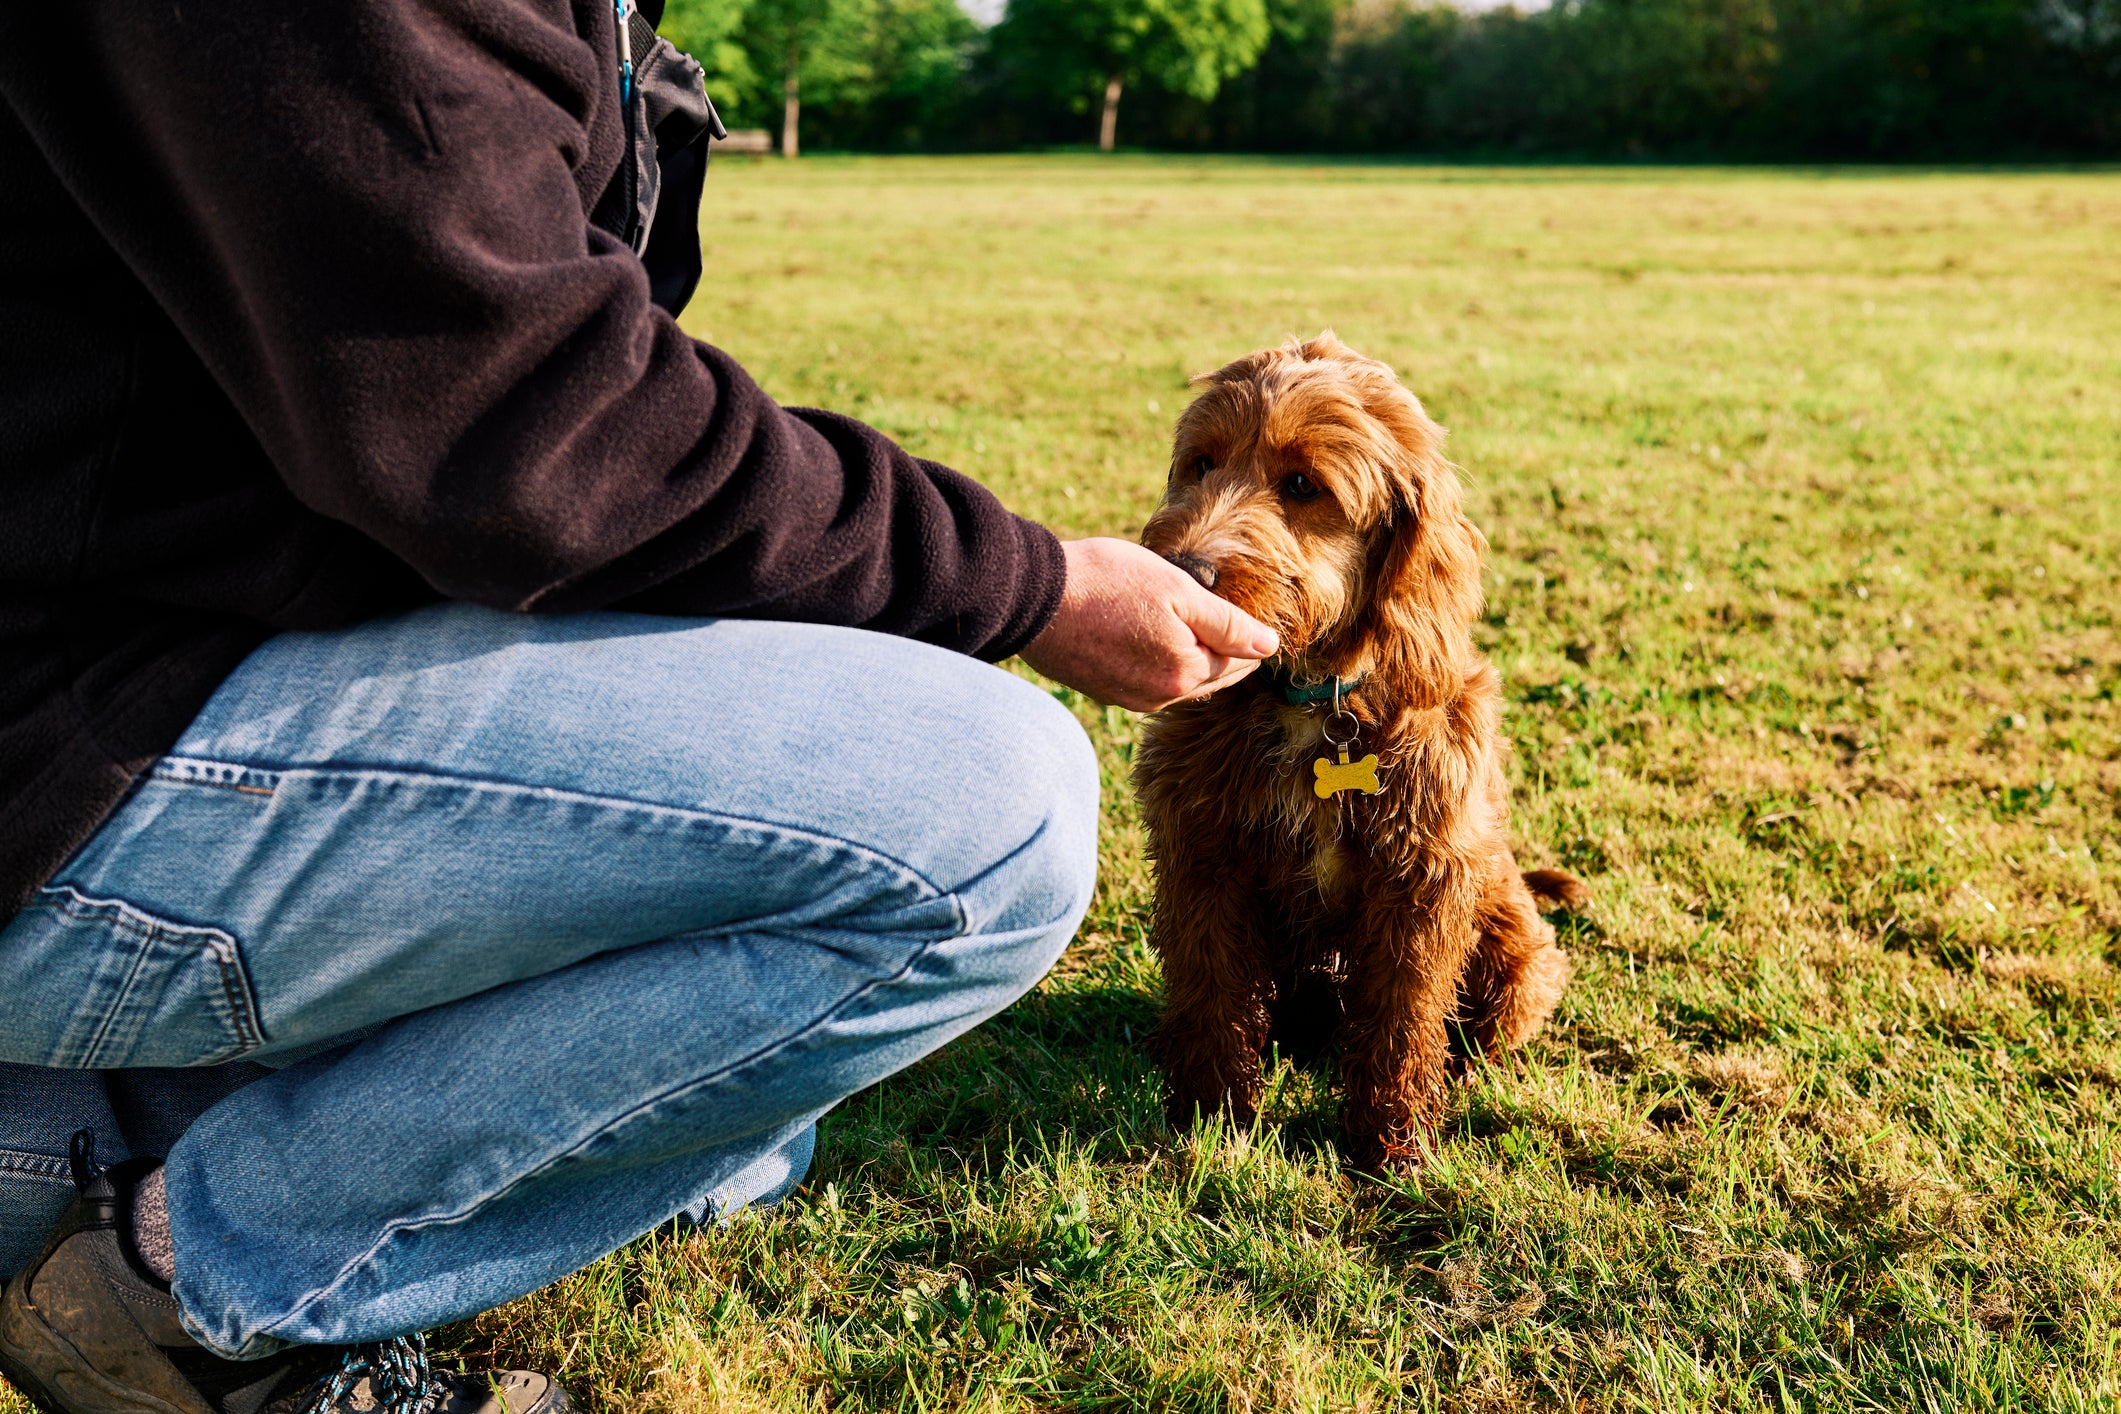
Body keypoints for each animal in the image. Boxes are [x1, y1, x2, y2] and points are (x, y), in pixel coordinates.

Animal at [1136, 332, 1586, 1170]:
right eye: (1201, 464)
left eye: (1302, 484)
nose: (1183, 570)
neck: (1312, 700)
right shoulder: (1200, 853)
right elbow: (1211, 989)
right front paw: (1210, 1117)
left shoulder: (1421, 877)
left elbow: (1402, 1017)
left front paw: (1392, 1146)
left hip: (1515, 951)